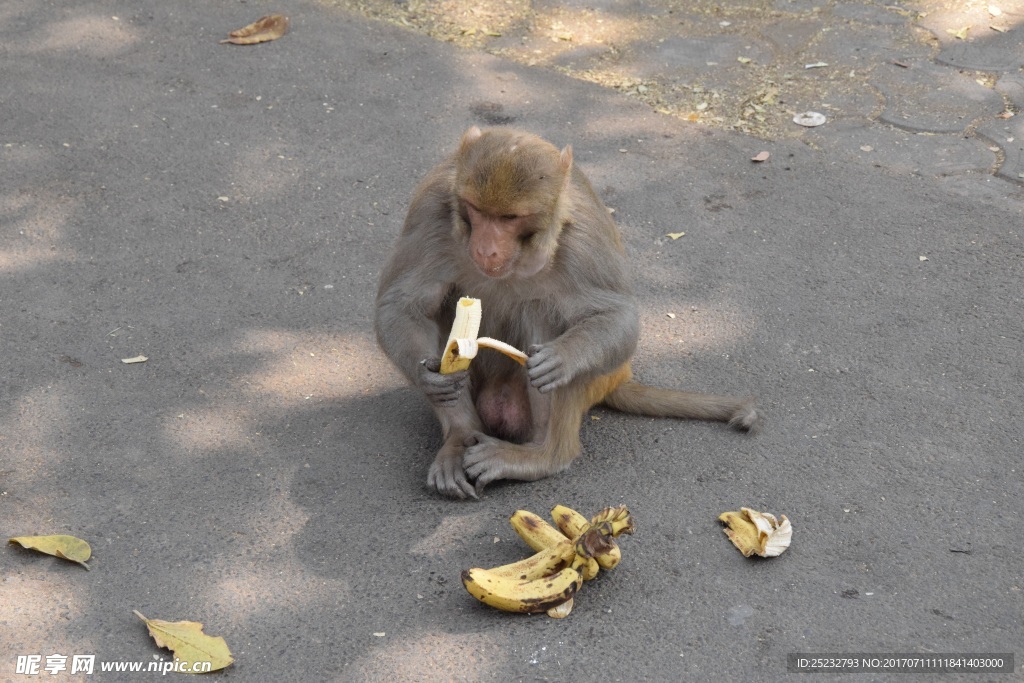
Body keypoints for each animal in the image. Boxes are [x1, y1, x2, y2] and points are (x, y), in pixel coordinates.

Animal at [372, 125, 757, 499]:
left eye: (510, 218)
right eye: (476, 210)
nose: (486, 249)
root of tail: (619, 379)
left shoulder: (584, 239)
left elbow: (618, 318)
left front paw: (563, 357)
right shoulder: (430, 209)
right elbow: (402, 305)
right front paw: (429, 376)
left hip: (599, 375)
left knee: (543, 314)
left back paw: (544, 456)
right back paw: (460, 437)